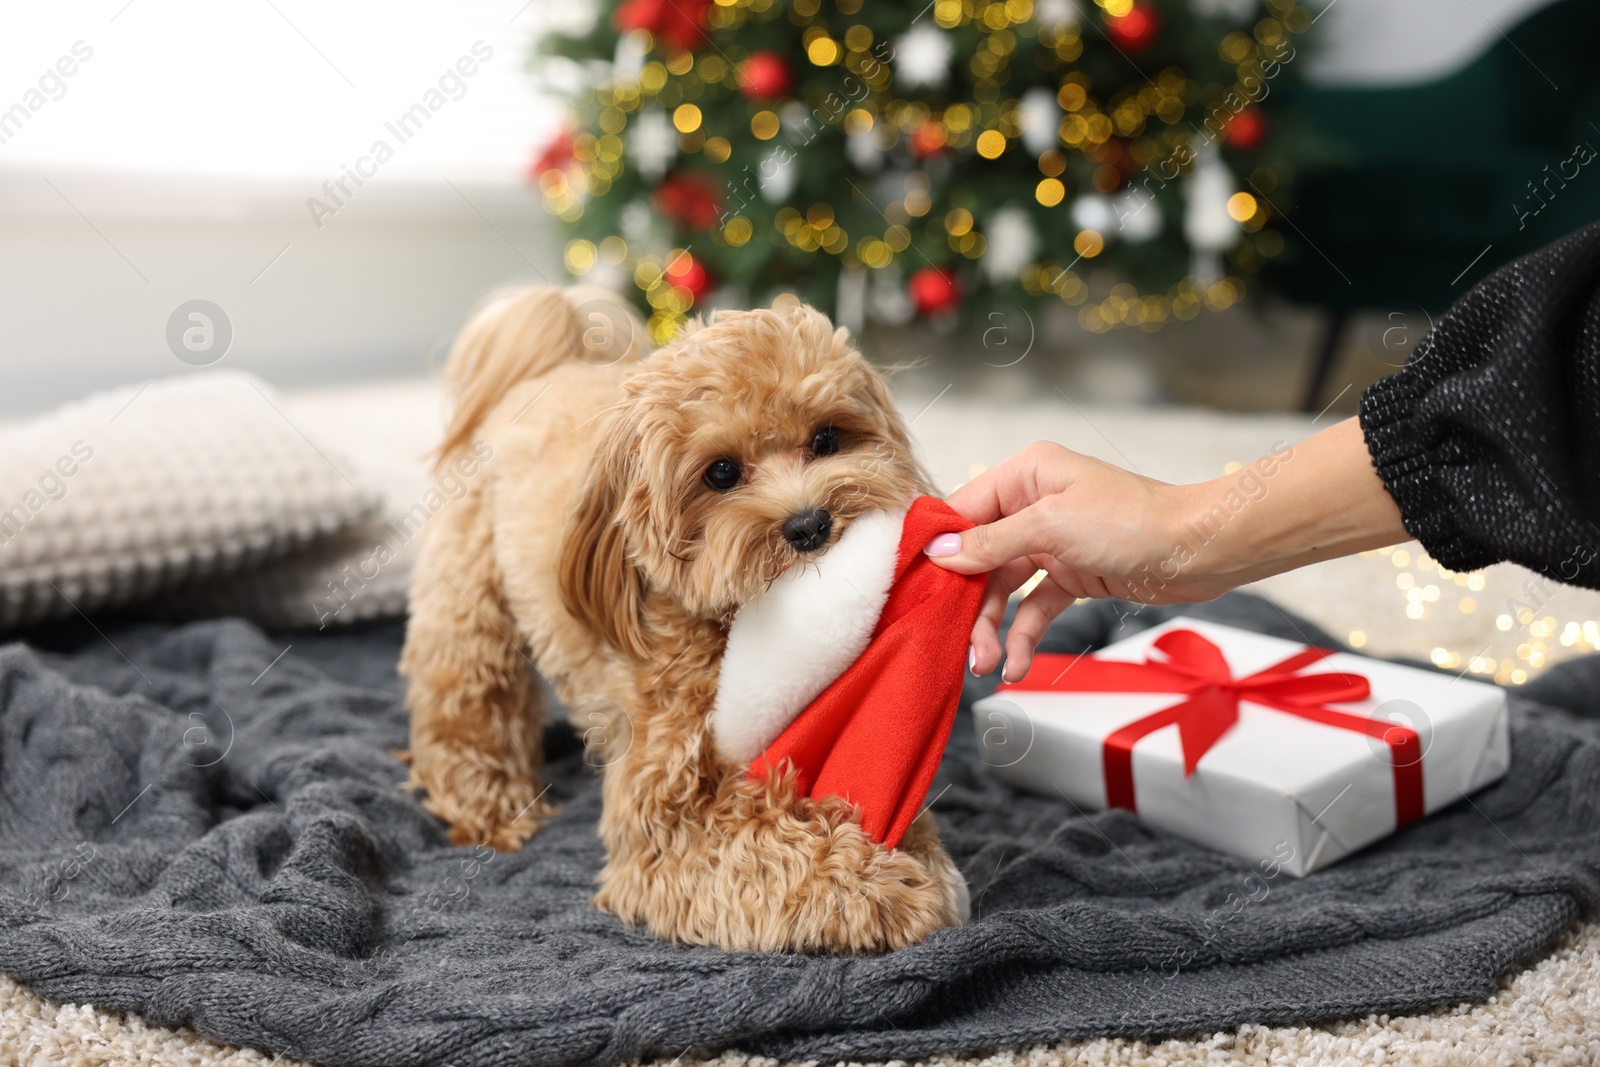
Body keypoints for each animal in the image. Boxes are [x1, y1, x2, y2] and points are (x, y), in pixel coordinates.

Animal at [403, 287, 960, 953]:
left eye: (827, 439)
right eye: (720, 472)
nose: (809, 524)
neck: (727, 626)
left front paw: (917, 851)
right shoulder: (663, 829)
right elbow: (764, 851)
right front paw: (879, 887)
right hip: (468, 604)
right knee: (465, 704)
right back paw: (489, 810)